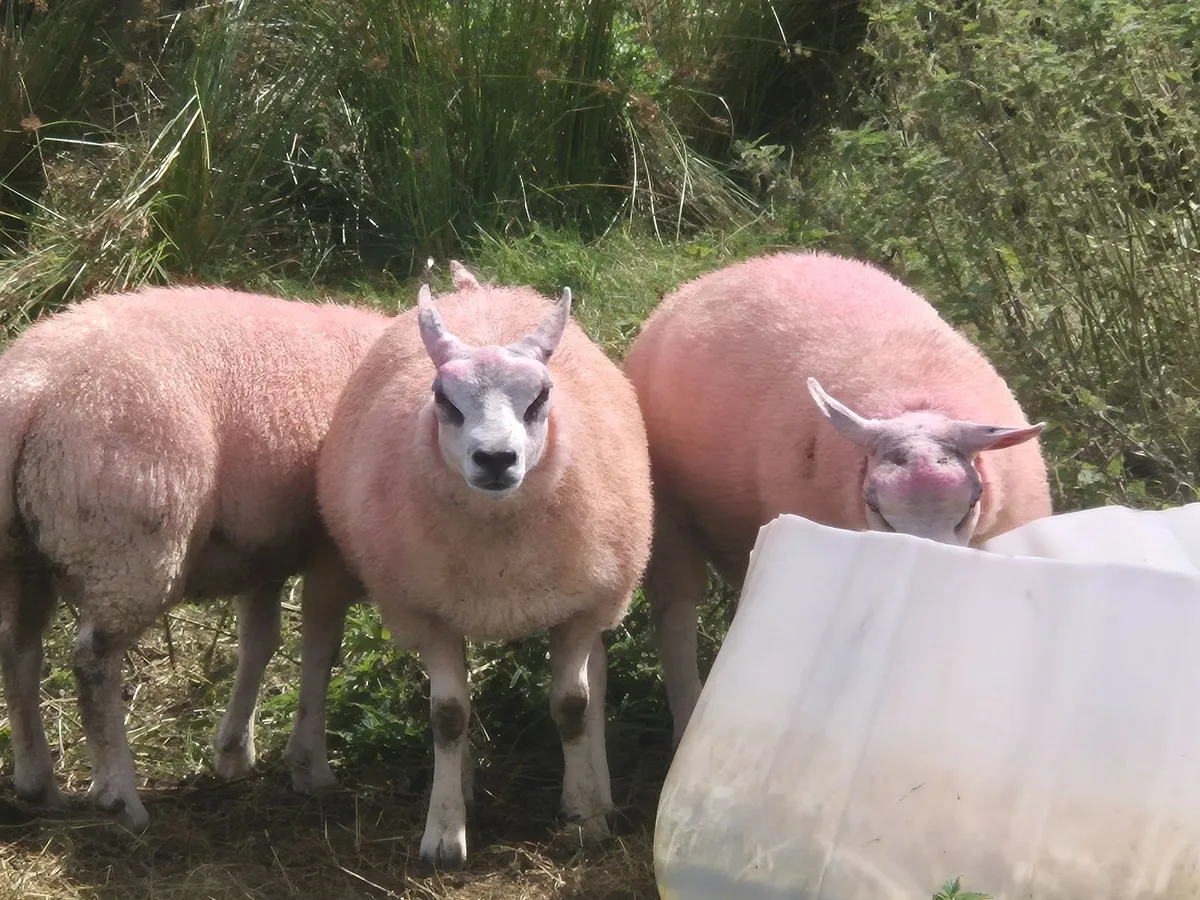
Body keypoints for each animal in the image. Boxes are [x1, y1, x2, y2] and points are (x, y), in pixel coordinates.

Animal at [0, 285, 388, 831]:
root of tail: (27, 392)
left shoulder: (260, 551)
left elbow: (259, 642)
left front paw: (234, 751)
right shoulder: (330, 555)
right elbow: (320, 649)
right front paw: (310, 765)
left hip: (22, 558)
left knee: (18, 648)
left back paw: (37, 783)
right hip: (128, 544)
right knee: (92, 661)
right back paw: (120, 798)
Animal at [305, 262, 653, 868]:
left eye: (541, 397)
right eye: (443, 399)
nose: (495, 459)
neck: (500, 550)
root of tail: (481, 289)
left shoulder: (582, 607)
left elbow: (573, 705)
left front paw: (586, 820)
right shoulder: (427, 614)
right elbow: (448, 716)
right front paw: (445, 835)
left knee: (596, 681)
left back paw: (596, 791)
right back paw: (464, 783)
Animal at [622, 250, 1052, 747]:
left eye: (971, 504)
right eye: (876, 508)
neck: (915, 401)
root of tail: (731, 269)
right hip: (669, 517)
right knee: (675, 615)